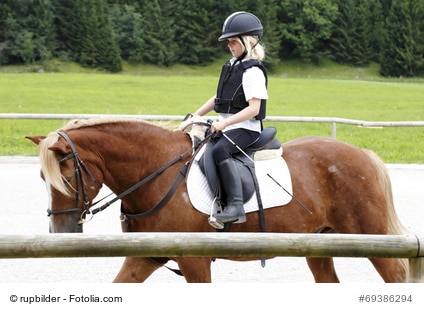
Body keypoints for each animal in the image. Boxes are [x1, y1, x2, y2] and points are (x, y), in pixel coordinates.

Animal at [25, 117, 408, 282]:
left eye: (67, 177)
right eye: (42, 178)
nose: (61, 234)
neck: (155, 172)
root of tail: (361, 154)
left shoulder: (194, 260)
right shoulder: (146, 256)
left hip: (370, 236)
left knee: (395, 273)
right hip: (319, 243)